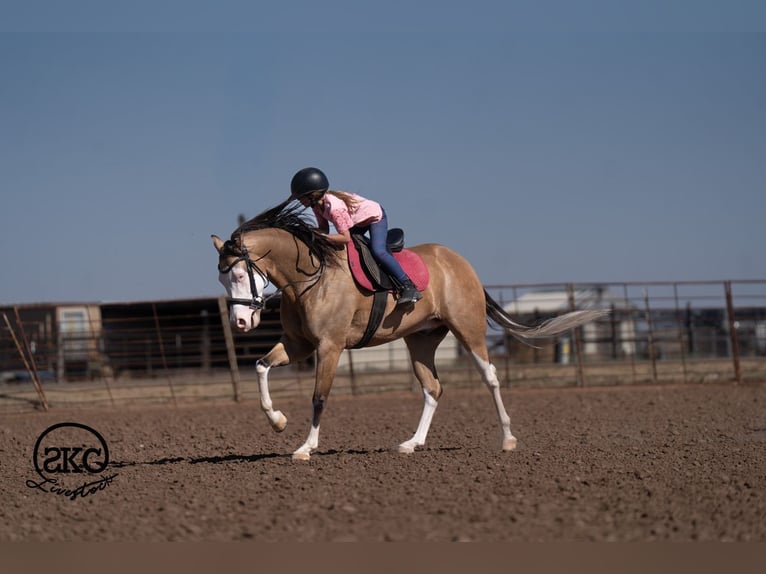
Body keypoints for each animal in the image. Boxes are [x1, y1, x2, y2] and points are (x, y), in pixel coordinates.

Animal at [212, 200, 607, 461]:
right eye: (222, 277)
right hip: (420, 340)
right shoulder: (299, 345)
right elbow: (261, 367)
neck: (310, 276)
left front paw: (306, 447)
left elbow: (319, 397)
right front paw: (277, 421)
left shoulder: (329, 347)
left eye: (238, 273)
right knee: (433, 388)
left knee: (491, 377)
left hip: (469, 331)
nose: (241, 323)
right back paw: (411, 444)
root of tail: (460, 262)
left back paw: (508, 439)